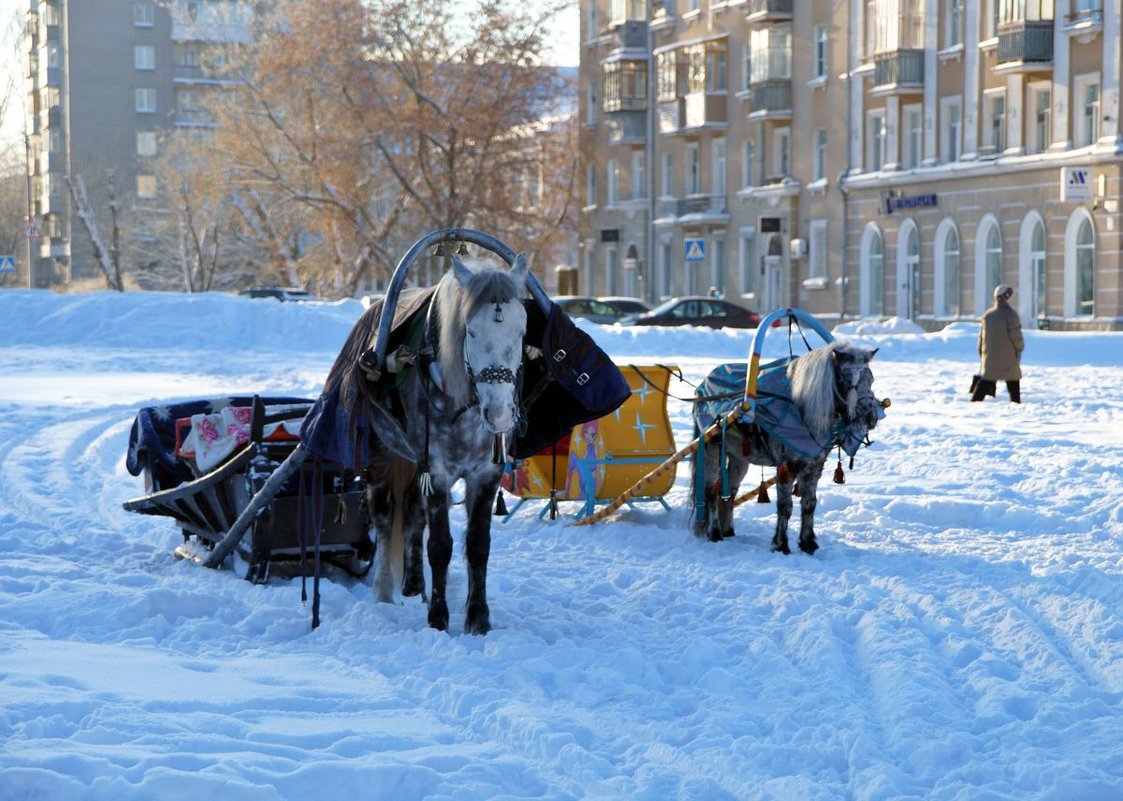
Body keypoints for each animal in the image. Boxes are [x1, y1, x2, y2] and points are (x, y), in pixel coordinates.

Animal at [366, 255, 527, 629]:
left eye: (521, 331)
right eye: (471, 330)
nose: (499, 414)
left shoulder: (484, 475)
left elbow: (478, 544)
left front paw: (478, 618)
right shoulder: (436, 473)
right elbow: (440, 545)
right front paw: (439, 618)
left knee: (412, 511)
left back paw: (414, 586)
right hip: (383, 452)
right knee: (384, 515)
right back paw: (383, 592)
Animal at [687, 341, 880, 552]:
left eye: (871, 378)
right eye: (846, 380)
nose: (870, 415)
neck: (802, 413)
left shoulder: (814, 467)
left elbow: (809, 504)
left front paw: (808, 543)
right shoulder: (787, 468)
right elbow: (785, 506)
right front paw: (780, 544)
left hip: (739, 457)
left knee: (730, 491)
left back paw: (728, 530)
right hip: (711, 449)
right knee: (710, 490)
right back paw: (714, 532)